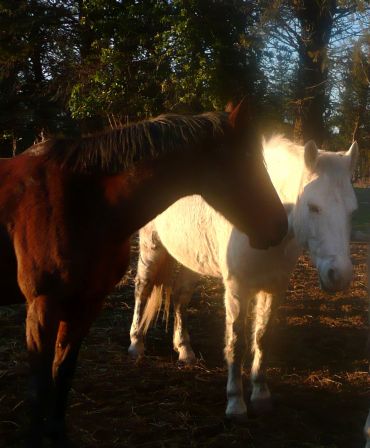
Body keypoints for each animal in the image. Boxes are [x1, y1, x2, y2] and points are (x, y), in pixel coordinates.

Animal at [0, 102, 286, 448]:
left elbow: (63, 372)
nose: (280, 226)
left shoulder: (86, 303)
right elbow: (39, 388)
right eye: (247, 162)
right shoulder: (43, 304)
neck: (83, 202)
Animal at [128, 135, 358, 418]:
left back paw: (184, 349)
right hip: (151, 247)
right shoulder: (238, 290)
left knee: (180, 298)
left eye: (352, 211)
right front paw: (235, 403)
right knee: (143, 289)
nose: (340, 275)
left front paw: (260, 394)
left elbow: (261, 338)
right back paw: (136, 344)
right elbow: (236, 344)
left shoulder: (274, 288)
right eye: (313, 207)